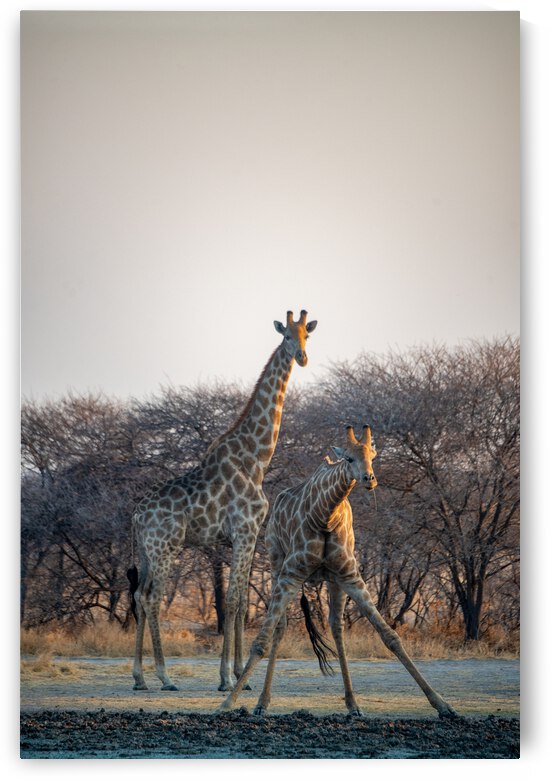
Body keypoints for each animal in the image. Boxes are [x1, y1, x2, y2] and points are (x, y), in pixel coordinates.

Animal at [128, 310, 317, 692]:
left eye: (307, 334)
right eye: (287, 336)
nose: (302, 357)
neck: (257, 458)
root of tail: (138, 516)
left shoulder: (246, 535)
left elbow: (241, 602)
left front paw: (239, 675)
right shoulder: (244, 531)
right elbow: (231, 601)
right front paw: (227, 678)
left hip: (146, 550)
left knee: (140, 595)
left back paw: (139, 677)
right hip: (166, 548)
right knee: (153, 598)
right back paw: (164, 676)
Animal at [218, 425, 457, 718]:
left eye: (372, 457)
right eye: (349, 459)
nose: (369, 479)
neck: (325, 515)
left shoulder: (350, 576)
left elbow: (390, 636)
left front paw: (442, 704)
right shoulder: (290, 574)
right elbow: (262, 640)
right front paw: (228, 703)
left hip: (333, 580)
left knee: (336, 627)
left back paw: (353, 704)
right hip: (276, 564)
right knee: (280, 628)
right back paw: (262, 702)